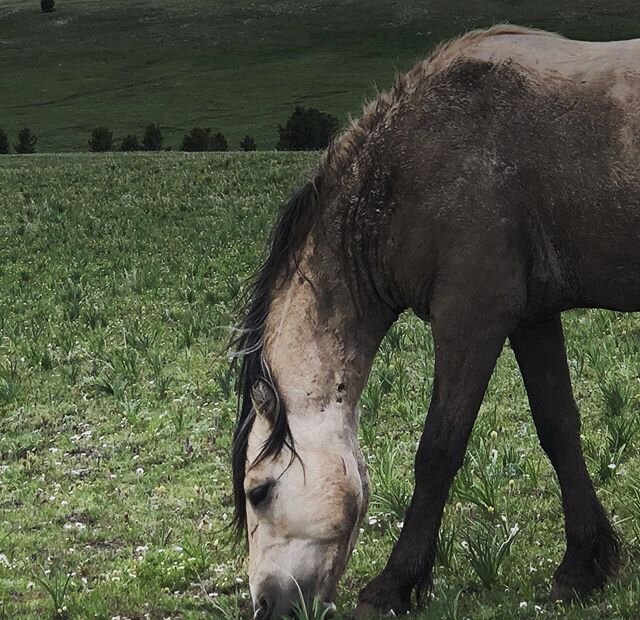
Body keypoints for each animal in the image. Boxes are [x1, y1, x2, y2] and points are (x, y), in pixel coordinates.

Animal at [230, 23, 640, 616]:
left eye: (258, 491)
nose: (266, 604)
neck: (413, 165)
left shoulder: (472, 317)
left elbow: (439, 450)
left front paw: (394, 584)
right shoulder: (533, 319)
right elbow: (559, 428)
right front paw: (583, 565)